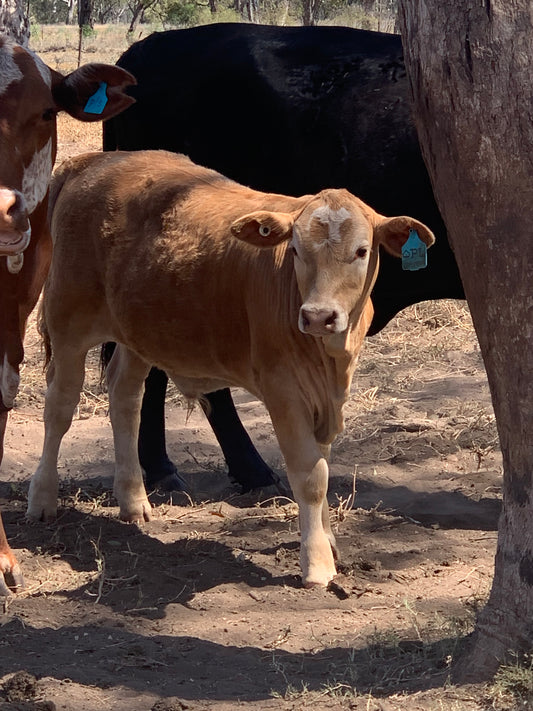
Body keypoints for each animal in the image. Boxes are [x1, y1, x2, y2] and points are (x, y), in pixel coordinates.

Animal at [27, 152, 432, 588]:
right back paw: (42, 499)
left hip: (138, 332)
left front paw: (327, 540)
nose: (318, 316)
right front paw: (318, 564)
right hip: (68, 319)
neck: (330, 357)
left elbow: (322, 465)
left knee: (125, 398)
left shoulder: (327, 395)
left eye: (361, 251)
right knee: (60, 407)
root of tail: (95, 161)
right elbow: (309, 476)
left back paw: (133, 500)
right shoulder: (283, 388)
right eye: (295, 250)